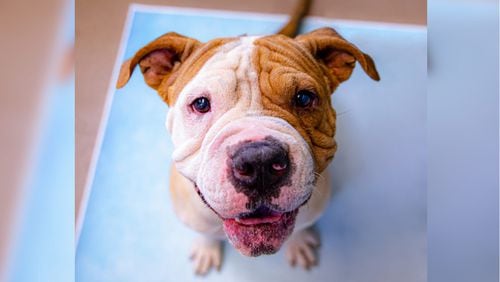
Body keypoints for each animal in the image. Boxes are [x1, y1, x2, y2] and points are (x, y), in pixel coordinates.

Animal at [114, 0, 378, 274]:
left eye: (304, 98)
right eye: (200, 103)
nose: (259, 161)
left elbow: (300, 227)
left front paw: (299, 242)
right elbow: (205, 233)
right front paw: (206, 247)